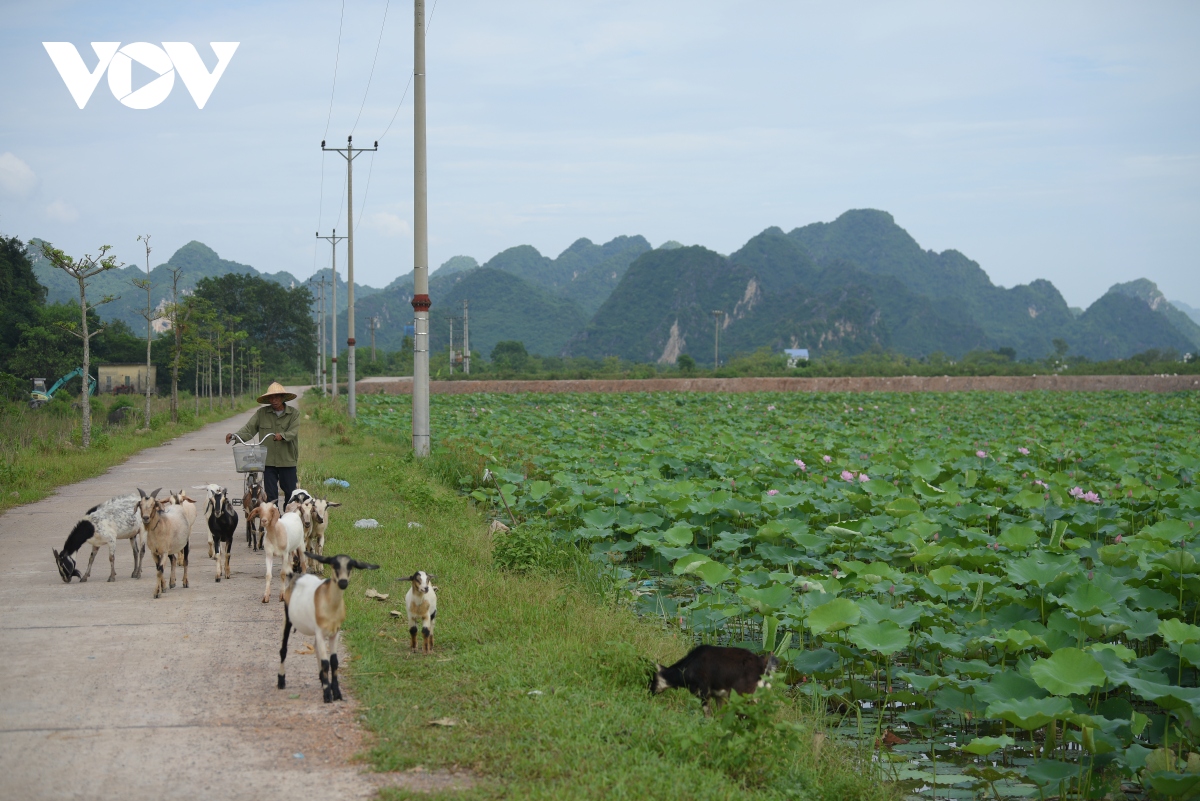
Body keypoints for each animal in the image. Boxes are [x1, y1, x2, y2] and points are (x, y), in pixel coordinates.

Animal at [278, 553, 376, 705]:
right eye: (334, 564)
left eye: (351, 566)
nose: (343, 582)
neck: (329, 604)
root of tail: (294, 576)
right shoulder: (320, 632)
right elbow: (325, 663)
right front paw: (327, 695)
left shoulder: (335, 633)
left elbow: (334, 661)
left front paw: (336, 693)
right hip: (287, 617)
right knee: (283, 649)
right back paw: (281, 681)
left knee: (316, 649)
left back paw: (321, 679)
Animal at [652, 642, 782, 714]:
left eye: (652, 677)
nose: (649, 692)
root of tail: (764, 667)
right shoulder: (719, 696)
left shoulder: (704, 692)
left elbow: (708, 715)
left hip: (743, 696)